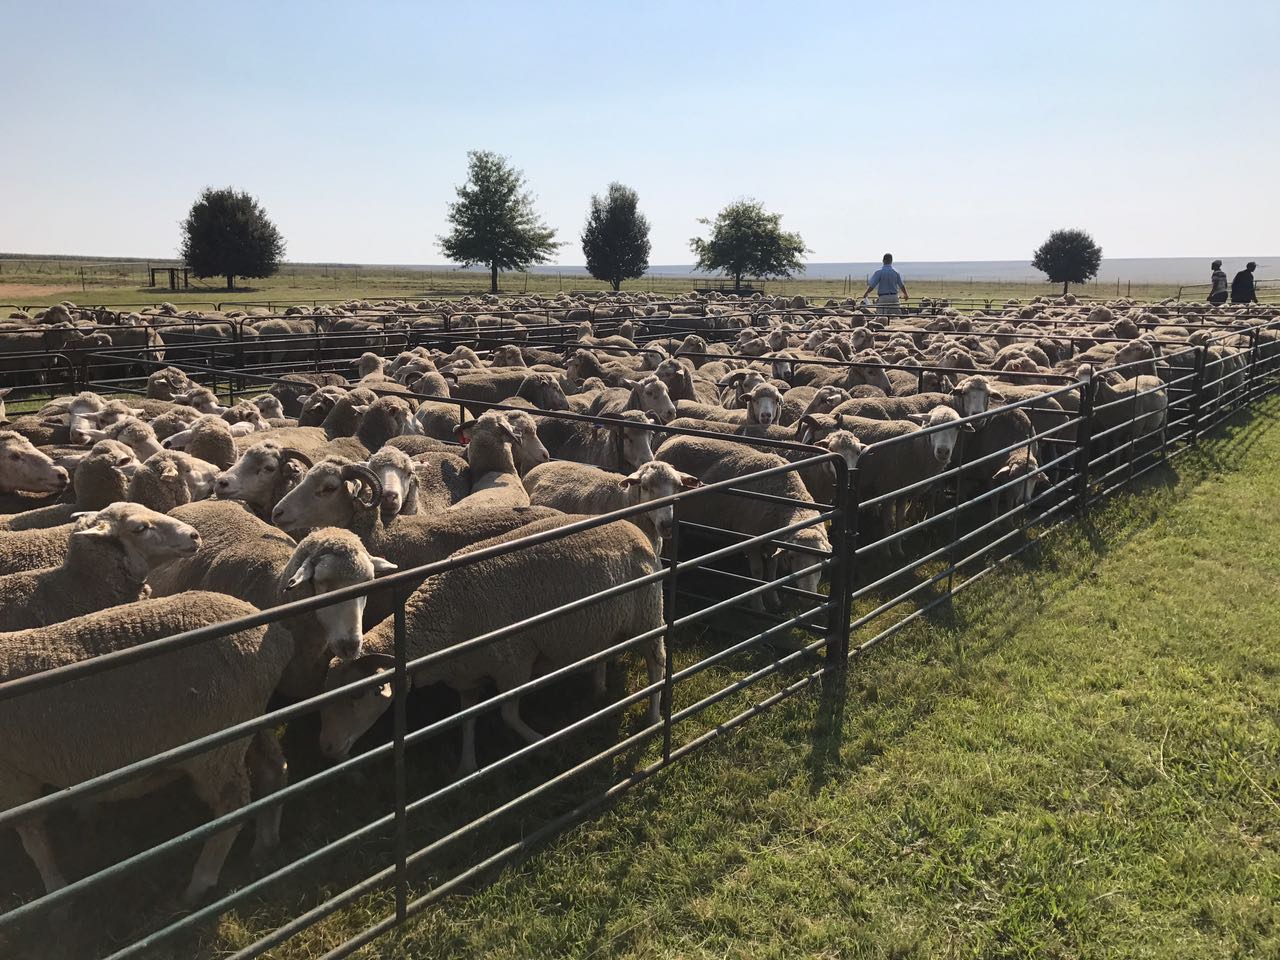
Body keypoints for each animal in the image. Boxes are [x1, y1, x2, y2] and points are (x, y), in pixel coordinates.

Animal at [0, 592, 291, 904]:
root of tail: (276, 638)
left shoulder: (14, 780)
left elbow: (34, 840)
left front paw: (56, 890)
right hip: (249, 721)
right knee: (273, 769)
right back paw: (265, 843)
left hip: (216, 746)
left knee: (232, 803)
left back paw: (200, 882)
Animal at [317, 514, 665, 777]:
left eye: (358, 695)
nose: (328, 749)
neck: (442, 615)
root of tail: (636, 530)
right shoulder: (467, 677)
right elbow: (467, 721)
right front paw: (467, 766)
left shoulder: (514, 664)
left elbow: (508, 715)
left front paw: (542, 744)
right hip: (605, 624)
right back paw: (599, 690)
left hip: (648, 614)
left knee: (657, 662)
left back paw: (654, 716)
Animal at [655, 435, 831, 611]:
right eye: (792, 557)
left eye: (821, 559)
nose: (808, 600)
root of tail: (672, 439)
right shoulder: (750, 539)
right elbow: (758, 572)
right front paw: (758, 605)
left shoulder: (773, 542)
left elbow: (772, 570)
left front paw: (774, 600)